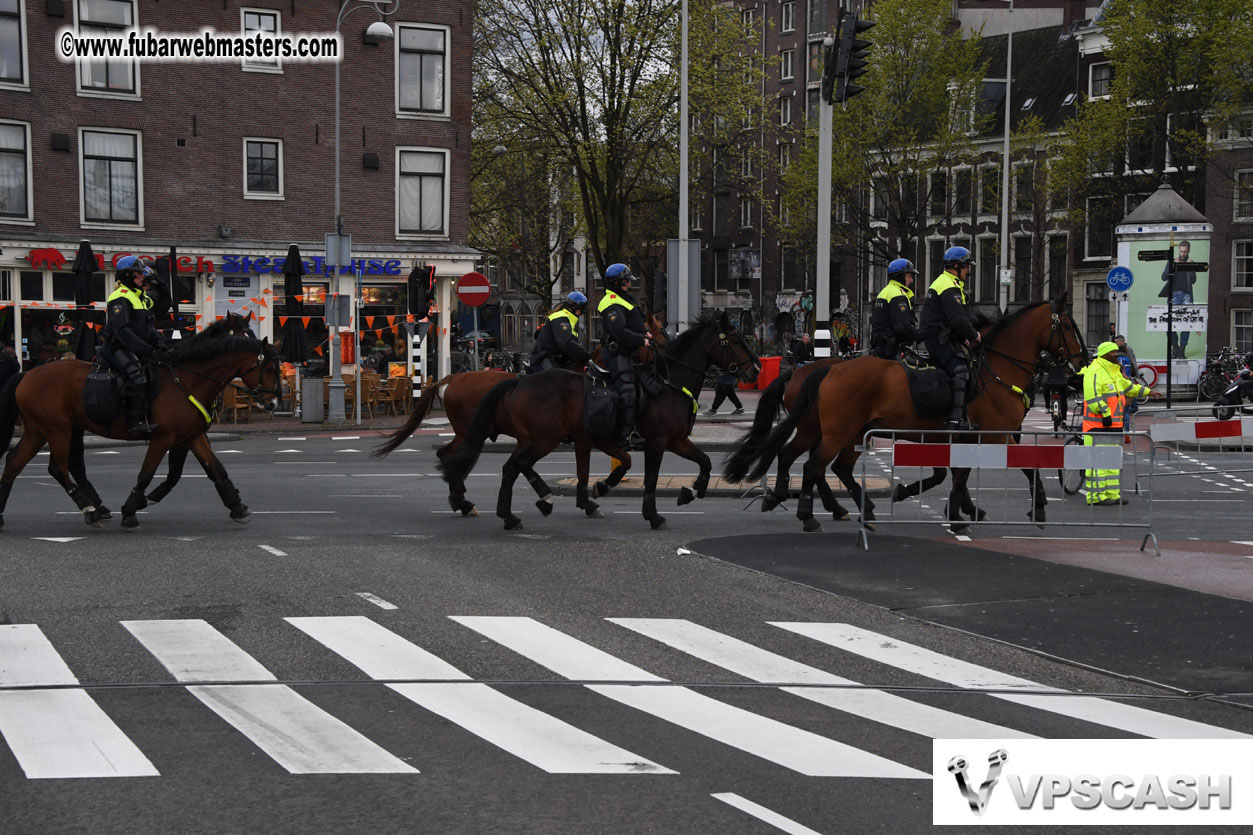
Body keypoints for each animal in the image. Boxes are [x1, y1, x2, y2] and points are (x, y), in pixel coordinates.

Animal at [0, 315, 279, 529]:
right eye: (267, 368)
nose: (273, 403)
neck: (186, 378)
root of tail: (26, 374)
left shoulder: (193, 435)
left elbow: (214, 469)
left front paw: (237, 506)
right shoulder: (163, 438)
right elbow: (147, 473)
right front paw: (131, 510)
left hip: (41, 430)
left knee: (16, 463)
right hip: (58, 430)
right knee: (58, 468)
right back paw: (90, 509)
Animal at [368, 310, 666, 514]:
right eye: (657, 337)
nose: (662, 364)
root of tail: (453, 378)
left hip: (470, 433)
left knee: (448, 455)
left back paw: (461, 500)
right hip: (469, 433)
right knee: (450, 456)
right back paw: (462, 500)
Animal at [446, 312, 756, 526]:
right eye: (736, 340)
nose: (756, 369)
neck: (668, 383)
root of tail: (519, 382)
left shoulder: (672, 440)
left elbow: (704, 462)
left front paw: (691, 491)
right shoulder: (656, 443)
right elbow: (650, 478)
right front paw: (652, 515)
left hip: (530, 439)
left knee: (509, 466)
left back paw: (505, 509)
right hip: (540, 440)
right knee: (510, 466)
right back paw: (505, 510)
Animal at [741, 299, 1087, 529]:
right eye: (1069, 326)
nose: (1082, 364)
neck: (995, 369)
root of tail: (822, 370)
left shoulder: (963, 437)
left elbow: (956, 474)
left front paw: (958, 510)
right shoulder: (996, 434)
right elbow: (1021, 465)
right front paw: (1037, 508)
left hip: (840, 431)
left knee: (820, 464)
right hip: (833, 432)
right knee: (813, 465)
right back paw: (811, 515)